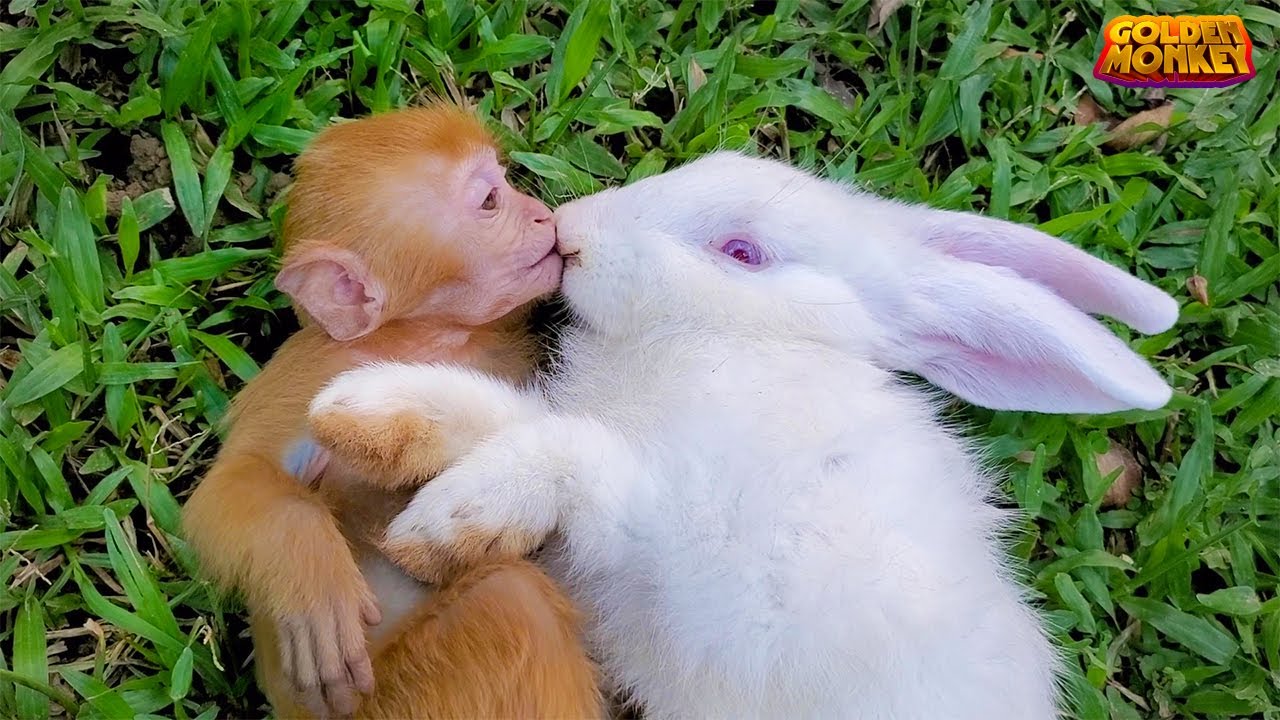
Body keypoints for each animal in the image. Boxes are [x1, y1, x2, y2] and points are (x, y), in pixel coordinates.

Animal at [181, 105, 602, 719]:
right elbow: (234, 483)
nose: (542, 215)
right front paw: (310, 576)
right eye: (489, 201)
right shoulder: (313, 367)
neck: (429, 335)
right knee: (511, 600)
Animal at [305, 151, 1178, 720]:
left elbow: (566, 453)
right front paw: (362, 413)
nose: (572, 233)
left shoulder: (696, 545)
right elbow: (509, 415)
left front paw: (444, 527)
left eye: (742, 253)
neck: (738, 345)